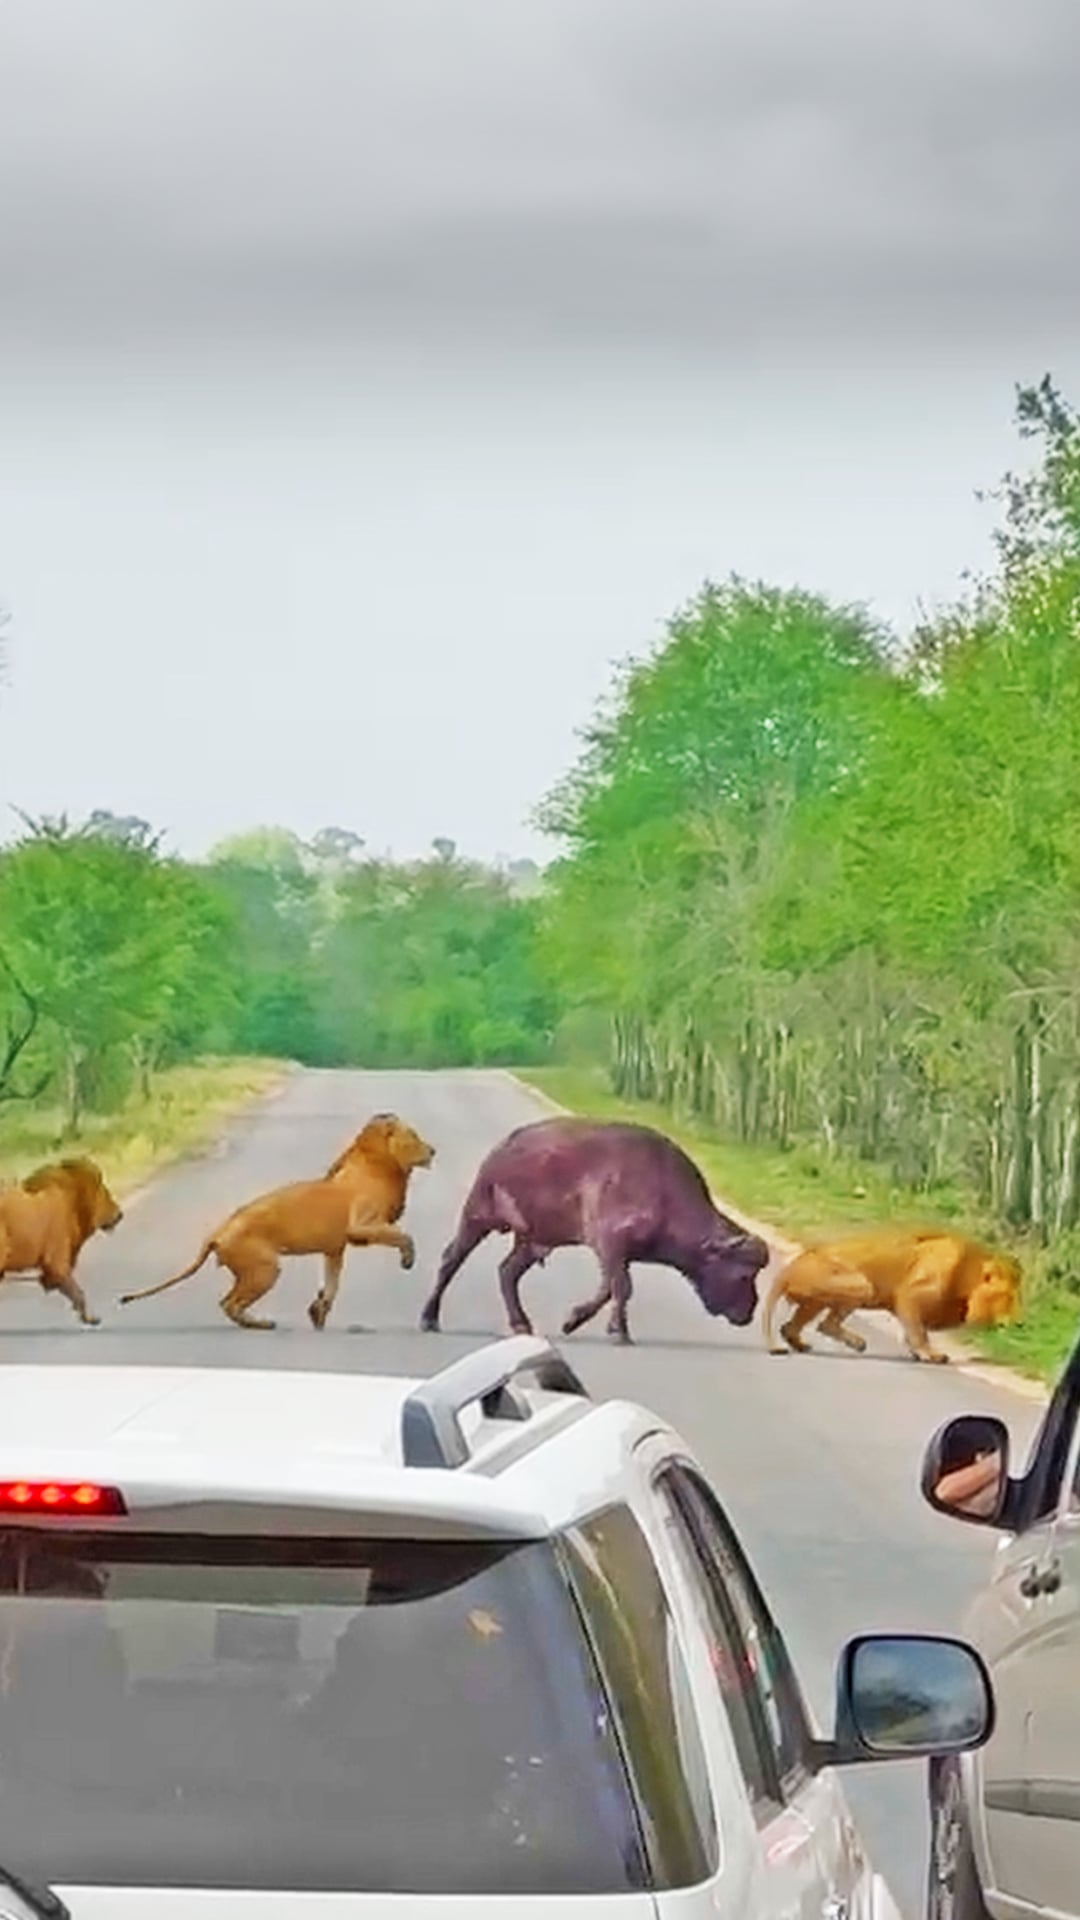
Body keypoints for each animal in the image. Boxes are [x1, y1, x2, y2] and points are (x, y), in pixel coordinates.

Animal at [0, 1157, 123, 1326]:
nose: (120, 1214)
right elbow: (78, 1293)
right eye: (104, 1191)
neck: (71, 1199)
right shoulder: (57, 1262)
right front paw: (90, 1318)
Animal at [120, 1113, 434, 1331]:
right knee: (229, 1303)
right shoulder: (361, 1226)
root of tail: (218, 1232)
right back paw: (262, 1324)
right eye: (414, 1135)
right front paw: (408, 1259)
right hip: (265, 1269)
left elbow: (332, 1284)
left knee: (228, 1303)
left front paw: (318, 1312)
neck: (380, 1163)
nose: (433, 1150)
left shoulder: (334, 1249)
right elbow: (403, 1235)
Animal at [420, 1116, 770, 1344]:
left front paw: (574, 1321)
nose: (748, 1312)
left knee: (507, 1271)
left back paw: (521, 1325)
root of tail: (503, 1146)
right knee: (451, 1259)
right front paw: (619, 1332)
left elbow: (609, 1289)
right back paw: (429, 1318)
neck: (663, 1189)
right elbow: (622, 1287)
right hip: (478, 1217)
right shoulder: (610, 1245)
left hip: (533, 1241)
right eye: (743, 1274)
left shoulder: (613, 1253)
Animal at [762, 1228, 1021, 1364]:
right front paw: (929, 1354)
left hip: (816, 1299)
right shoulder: (910, 1294)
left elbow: (915, 1329)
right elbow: (918, 1331)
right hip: (861, 1284)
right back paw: (857, 1343)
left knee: (790, 1326)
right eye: (1009, 1298)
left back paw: (801, 1343)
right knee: (825, 1324)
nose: (1018, 1324)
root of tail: (789, 1268)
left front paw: (916, 1351)